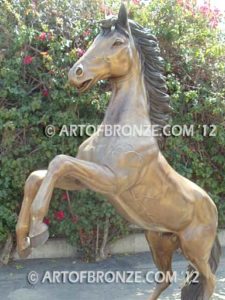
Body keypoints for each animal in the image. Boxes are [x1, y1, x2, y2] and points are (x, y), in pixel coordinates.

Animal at [16, 4, 221, 300]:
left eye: (117, 42)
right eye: (95, 39)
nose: (76, 73)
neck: (121, 130)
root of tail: (213, 208)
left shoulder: (112, 181)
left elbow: (58, 162)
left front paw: (38, 230)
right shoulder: (84, 179)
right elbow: (37, 176)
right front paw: (23, 242)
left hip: (194, 248)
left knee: (209, 280)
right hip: (158, 240)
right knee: (167, 278)